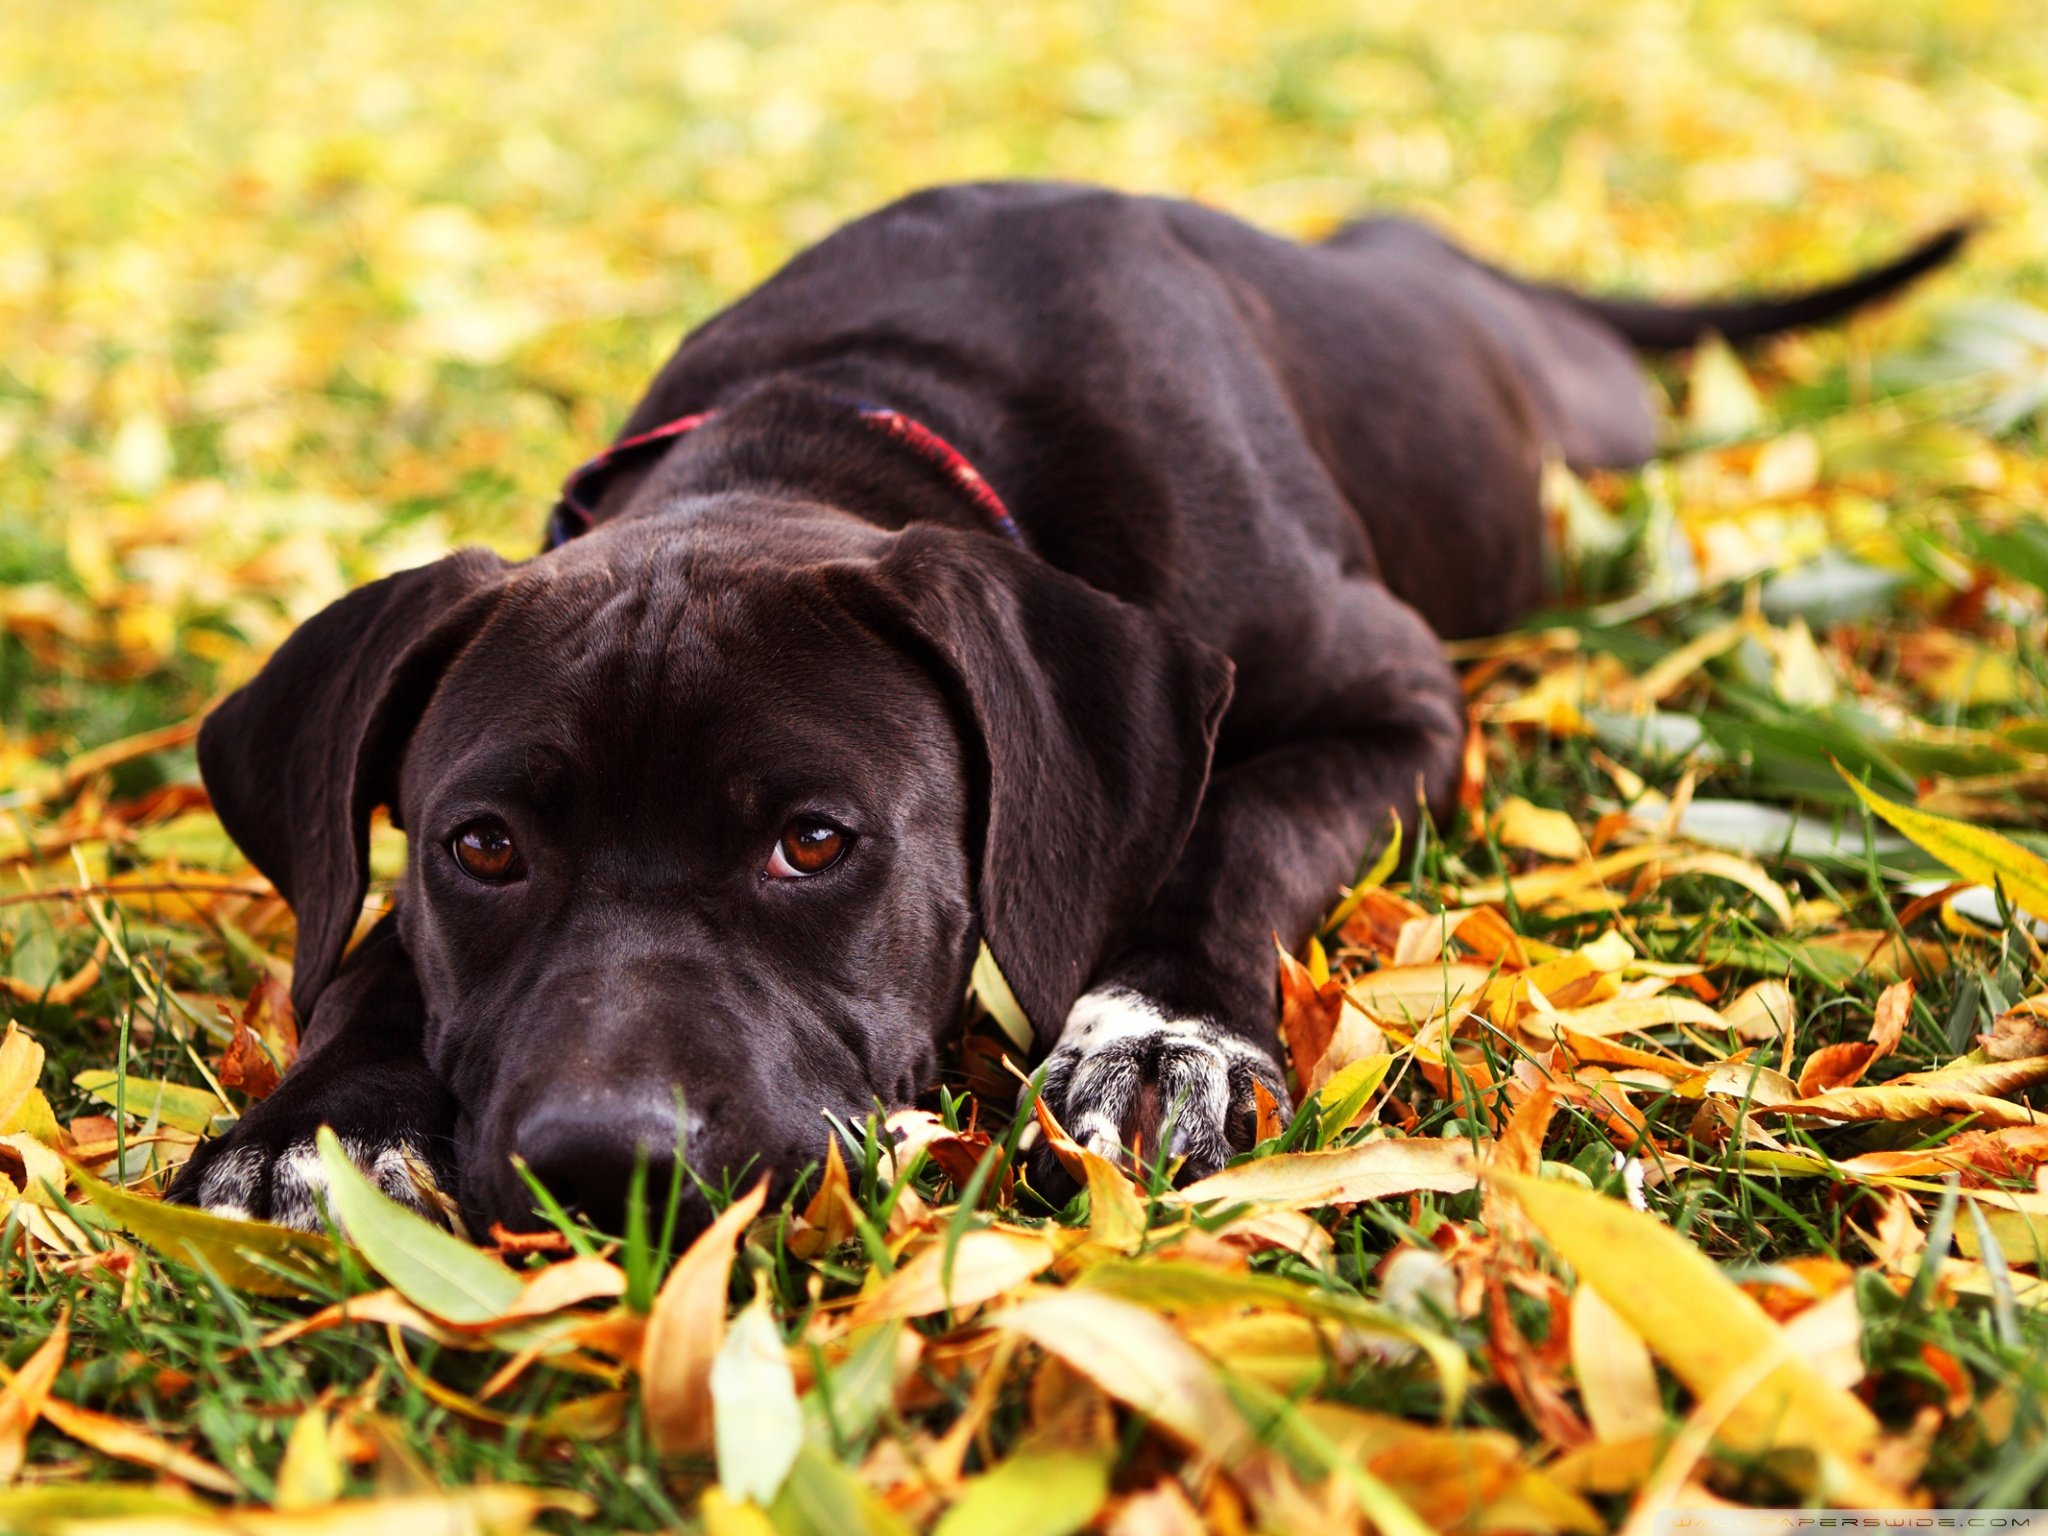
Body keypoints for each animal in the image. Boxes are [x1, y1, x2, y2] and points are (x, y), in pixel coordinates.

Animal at [167, 183, 1957, 1236]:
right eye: (480, 848)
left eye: (815, 842)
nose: (609, 1165)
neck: (845, 414)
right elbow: (369, 955)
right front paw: (309, 1129)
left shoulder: (1393, 698)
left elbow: (1229, 828)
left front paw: (1158, 1029)